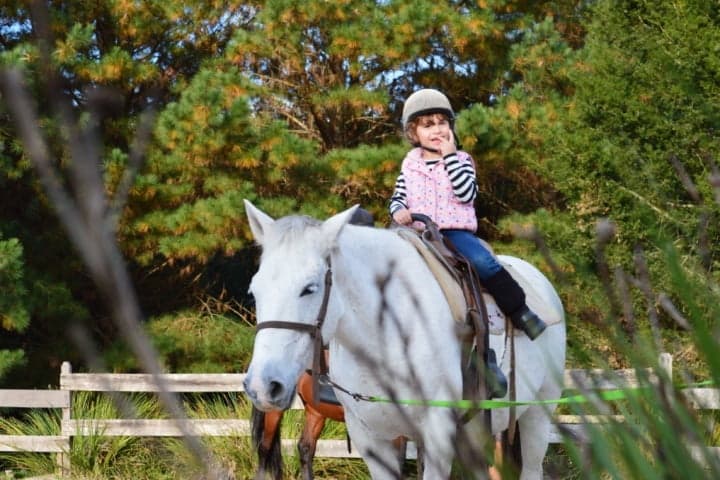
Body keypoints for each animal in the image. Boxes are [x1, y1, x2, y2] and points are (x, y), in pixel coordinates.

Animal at [242, 200, 566, 480]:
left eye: (309, 288)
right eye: (254, 290)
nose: (262, 385)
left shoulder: (437, 436)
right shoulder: (371, 438)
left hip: (537, 415)